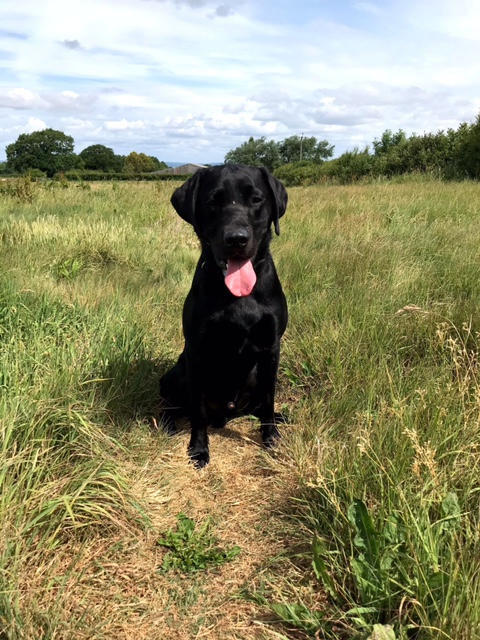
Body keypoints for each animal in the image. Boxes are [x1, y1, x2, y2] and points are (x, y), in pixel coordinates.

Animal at [159, 162, 286, 468]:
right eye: (212, 202)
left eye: (256, 199)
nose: (236, 239)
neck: (238, 295)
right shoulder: (196, 352)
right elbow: (198, 411)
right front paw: (198, 449)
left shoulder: (271, 348)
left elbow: (269, 399)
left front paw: (271, 437)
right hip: (177, 374)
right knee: (172, 405)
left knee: (259, 405)